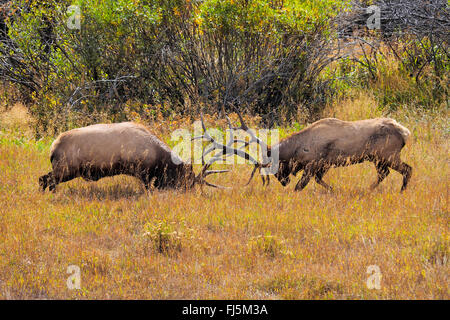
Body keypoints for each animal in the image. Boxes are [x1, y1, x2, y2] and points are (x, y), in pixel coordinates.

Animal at [38, 118, 253, 191]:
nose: (189, 192)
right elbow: (148, 189)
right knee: (45, 180)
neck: (159, 157)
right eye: (188, 180)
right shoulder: (142, 172)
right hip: (66, 169)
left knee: (43, 179)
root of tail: (53, 148)